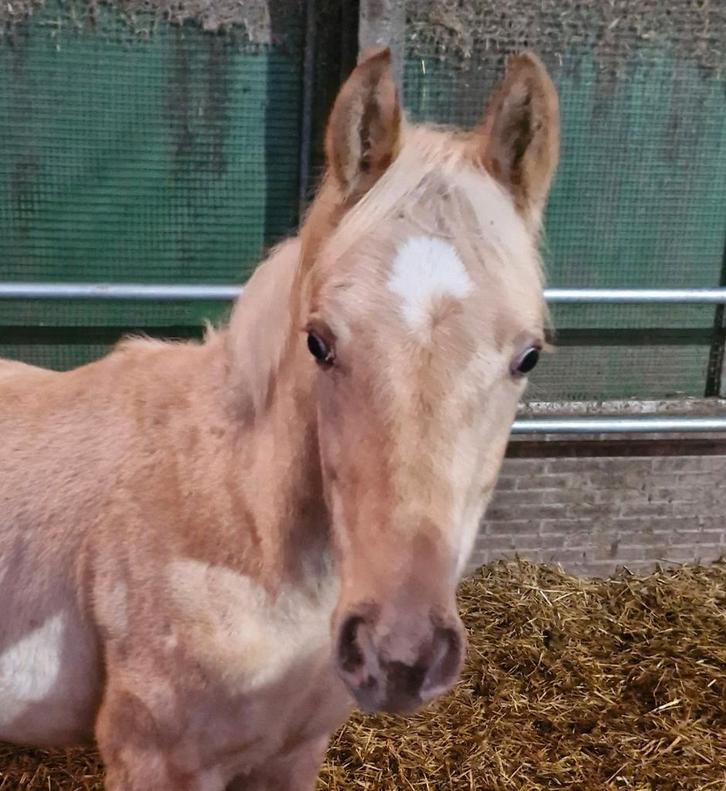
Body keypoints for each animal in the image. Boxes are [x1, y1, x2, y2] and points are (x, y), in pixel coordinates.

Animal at [0, 49, 559, 790]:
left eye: (528, 355)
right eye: (318, 342)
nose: (399, 654)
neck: (232, 515)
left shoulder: (293, 753)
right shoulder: (152, 760)